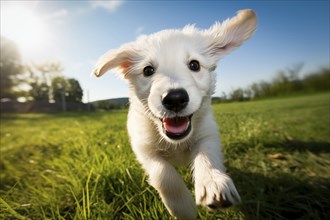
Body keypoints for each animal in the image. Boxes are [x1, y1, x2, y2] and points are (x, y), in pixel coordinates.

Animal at [93, 9, 258, 219]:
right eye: (148, 70)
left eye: (194, 65)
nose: (175, 99)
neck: (175, 143)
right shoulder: (144, 149)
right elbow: (164, 175)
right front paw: (184, 208)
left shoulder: (207, 134)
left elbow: (206, 155)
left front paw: (213, 183)